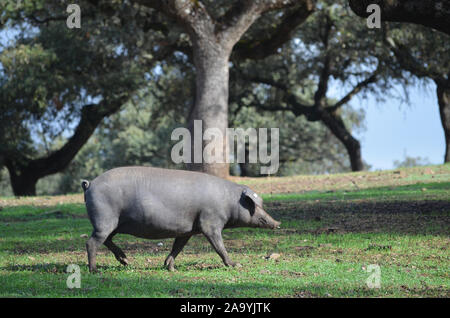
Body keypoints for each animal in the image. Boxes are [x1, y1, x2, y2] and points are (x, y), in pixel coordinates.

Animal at [79, 165, 280, 272]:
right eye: (253, 206)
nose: (277, 223)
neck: (229, 203)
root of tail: (90, 184)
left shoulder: (188, 229)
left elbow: (178, 247)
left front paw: (170, 267)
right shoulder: (210, 222)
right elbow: (219, 246)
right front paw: (236, 264)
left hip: (111, 225)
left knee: (106, 240)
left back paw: (126, 261)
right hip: (105, 219)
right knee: (91, 243)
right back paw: (95, 270)